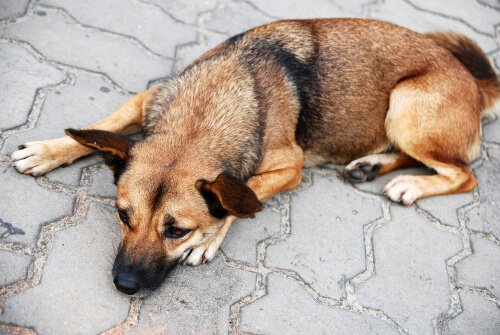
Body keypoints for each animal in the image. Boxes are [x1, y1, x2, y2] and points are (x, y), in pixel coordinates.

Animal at [9, 19, 498, 296]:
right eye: (123, 216)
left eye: (178, 231)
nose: (123, 286)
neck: (209, 108)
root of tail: (473, 81)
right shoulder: (149, 99)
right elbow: (105, 123)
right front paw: (50, 149)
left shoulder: (289, 167)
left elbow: (240, 197)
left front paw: (207, 241)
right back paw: (370, 165)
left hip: (405, 105)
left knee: (463, 173)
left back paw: (409, 184)